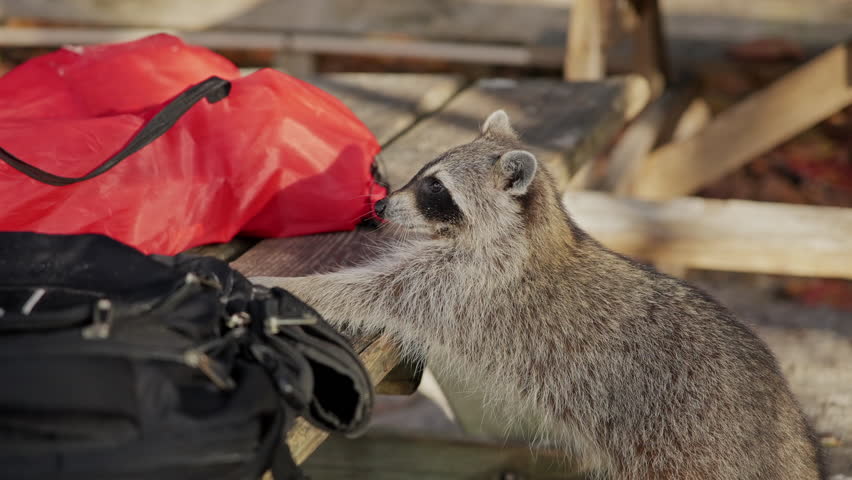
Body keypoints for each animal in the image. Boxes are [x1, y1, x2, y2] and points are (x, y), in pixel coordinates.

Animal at [253, 111, 824, 479]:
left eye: (436, 189)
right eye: (422, 176)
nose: (380, 206)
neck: (533, 231)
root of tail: (780, 418)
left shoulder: (464, 288)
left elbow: (370, 292)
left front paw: (284, 284)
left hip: (692, 447)